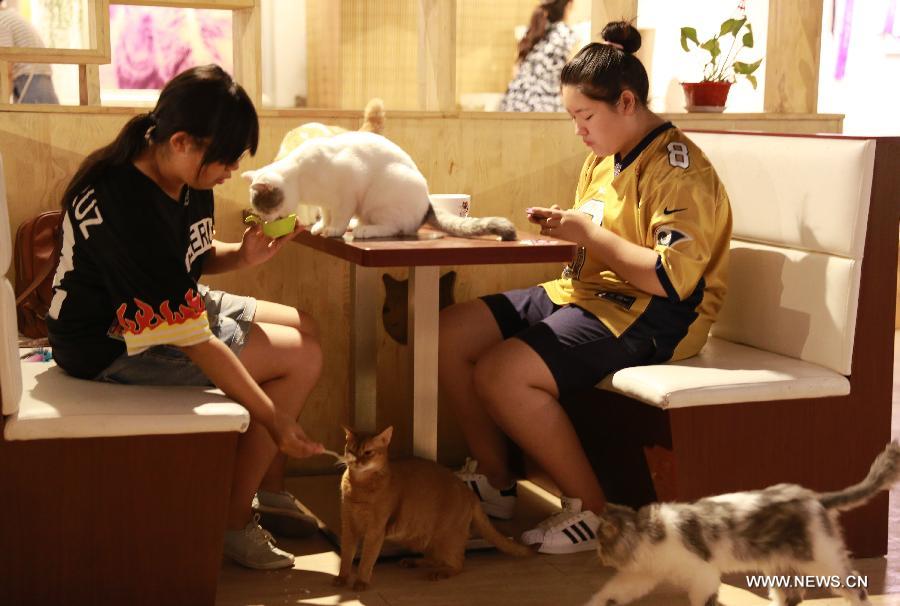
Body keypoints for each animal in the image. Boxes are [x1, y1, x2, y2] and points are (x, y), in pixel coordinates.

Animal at [243, 132, 516, 241]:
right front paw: (321, 227)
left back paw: (363, 230)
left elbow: (339, 216)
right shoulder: (326, 203)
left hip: (381, 195)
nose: (265, 221)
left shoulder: (347, 191)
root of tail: (427, 202)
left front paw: (333, 230)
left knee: (394, 228)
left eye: (265, 209)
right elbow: (327, 214)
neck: (303, 181)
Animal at [334, 426, 532, 592]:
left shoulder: (375, 531)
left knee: (458, 563)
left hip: (446, 537)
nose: (355, 461)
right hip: (429, 539)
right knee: (435, 558)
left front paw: (361, 582)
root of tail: (469, 493)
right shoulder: (348, 525)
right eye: (351, 450)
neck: (358, 486)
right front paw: (342, 578)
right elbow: (346, 555)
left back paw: (440, 573)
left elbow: (366, 560)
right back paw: (412, 561)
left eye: (368, 452)